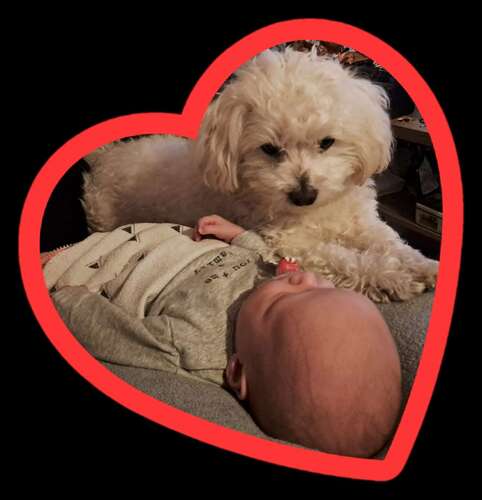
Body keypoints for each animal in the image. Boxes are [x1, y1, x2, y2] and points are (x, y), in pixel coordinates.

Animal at [82, 48, 438, 302]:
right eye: (269, 149)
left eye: (326, 142)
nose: (303, 195)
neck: (319, 212)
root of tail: (104, 156)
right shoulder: (292, 242)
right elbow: (346, 259)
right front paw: (393, 278)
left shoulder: (362, 224)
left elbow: (393, 243)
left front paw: (424, 266)